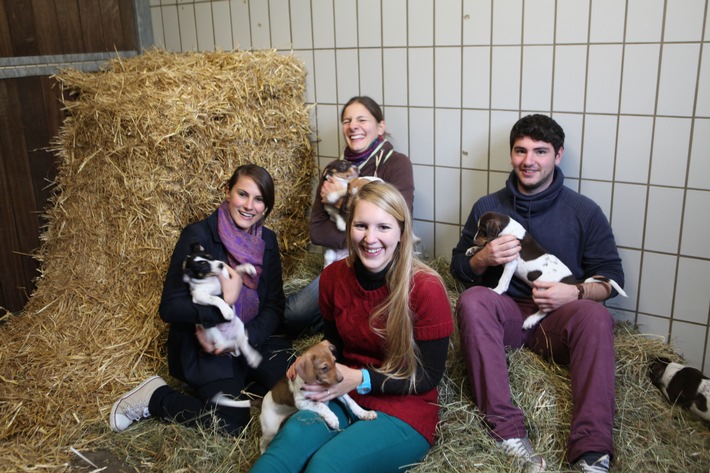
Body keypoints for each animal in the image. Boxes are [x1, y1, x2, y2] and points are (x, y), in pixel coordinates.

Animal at [211, 338, 378, 452]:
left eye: (335, 362)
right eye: (324, 368)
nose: (341, 379)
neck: (318, 383)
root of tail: (262, 400)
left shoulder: (335, 392)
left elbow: (351, 402)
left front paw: (364, 413)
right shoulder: (302, 402)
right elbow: (320, 406)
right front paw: (332, 418)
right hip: (270, 429)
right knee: (262, 442)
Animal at [468, 211, 628, 328]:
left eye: (482, 230)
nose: (473, 240)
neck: (508, 228)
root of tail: (572, 281)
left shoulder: (511, 262)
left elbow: (503, 281)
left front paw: (496, 291)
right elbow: (485, 247)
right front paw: (472, 250)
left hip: (542, 289)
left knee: (547, 309)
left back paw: (530, 320)